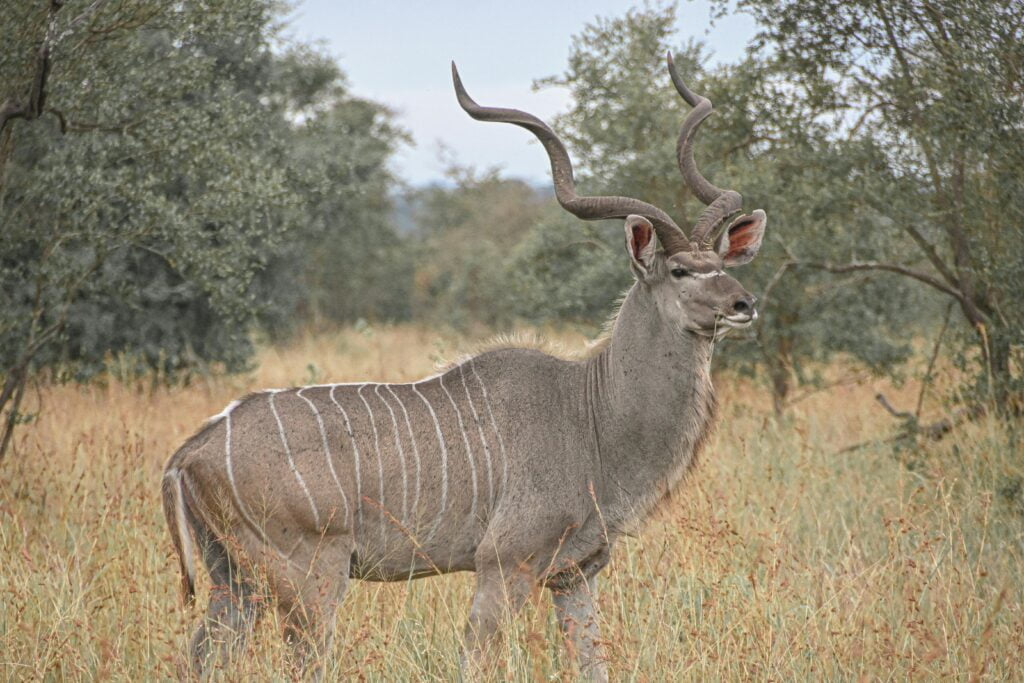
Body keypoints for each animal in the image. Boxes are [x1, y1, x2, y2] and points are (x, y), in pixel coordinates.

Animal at [162, 53, 767, 680]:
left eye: (722, 263)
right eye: (679, 271)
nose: (743, 304)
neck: (591, 413)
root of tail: (190, 453)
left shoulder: (575, 577)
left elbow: (591, 663)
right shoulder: (505, 565)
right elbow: (477, 657)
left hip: (234, 581)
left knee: (201, 654)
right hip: (311, 579)